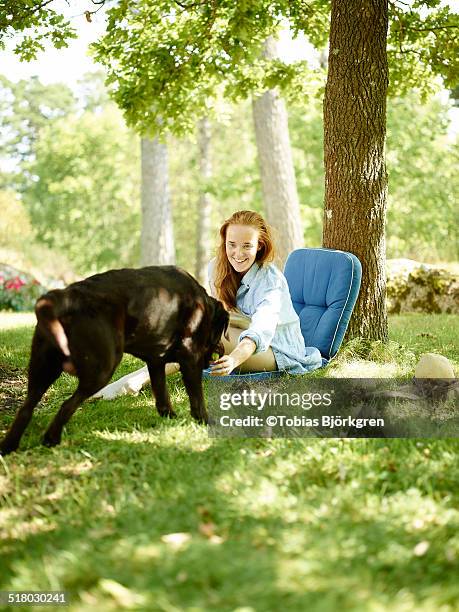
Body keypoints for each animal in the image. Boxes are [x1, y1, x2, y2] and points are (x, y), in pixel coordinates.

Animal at [0, 266, 230, 454]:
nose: (211, 360)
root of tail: (67, 296)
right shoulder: (190, 358)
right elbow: (197, 398)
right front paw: (206, 422)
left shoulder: (155, 362)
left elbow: (161, 395)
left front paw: (171, 418)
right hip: (102, 369)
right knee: (67, 405)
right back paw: (51, 439)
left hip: (42, 371)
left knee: (26, 408)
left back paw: (9, 447)